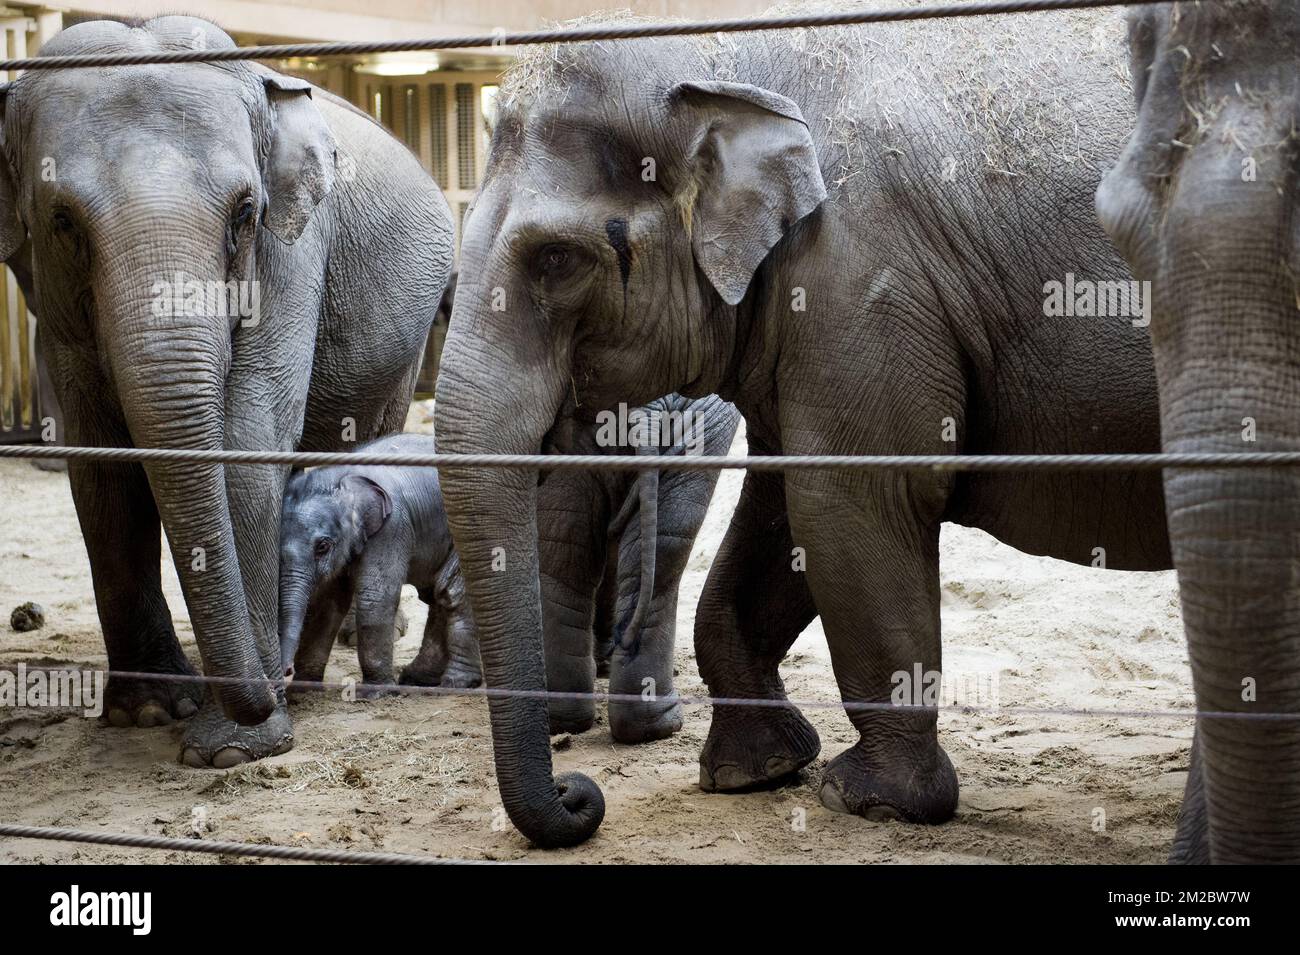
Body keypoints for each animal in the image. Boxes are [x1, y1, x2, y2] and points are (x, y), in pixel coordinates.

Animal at [0, 16, 454, 769]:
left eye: (244, 212)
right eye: (62, 221)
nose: (273, 690)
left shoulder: (294, 246)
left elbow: (249, 432)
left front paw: (233, 749)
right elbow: (99, 465)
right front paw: (150, 711)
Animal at [276, 433, 480, 696]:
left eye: (322, 546)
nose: (286, 670)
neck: (342, 477)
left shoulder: (392, 526)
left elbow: (375, 596)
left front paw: (374, 693)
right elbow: (327, 603)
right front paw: (304, 690)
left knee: (453, 593)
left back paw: (457, 684)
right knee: (439, 597)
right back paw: (418, 678)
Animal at [436, 5, 1180, 841]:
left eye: (557, 259)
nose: (579, 791)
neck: (723, 54)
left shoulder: (861, 277)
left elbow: (847, 502)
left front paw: (871, 799)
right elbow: (780, 514)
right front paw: (752, 772)